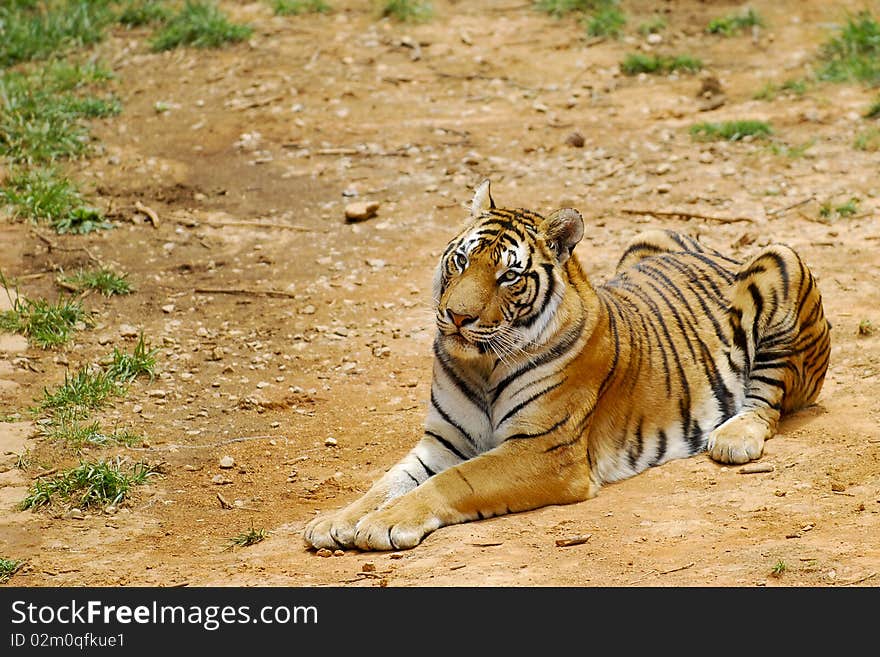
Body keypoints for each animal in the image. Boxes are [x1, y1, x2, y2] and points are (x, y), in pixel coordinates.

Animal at [304, 179, 832, 548]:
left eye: (508, 276)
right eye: (461, 262)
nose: (456, 316)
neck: (481, 366)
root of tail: (718, 252)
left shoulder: (544, 452)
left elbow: (454, 480)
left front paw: (384, 525)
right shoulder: (444, 441)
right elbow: (386, 482)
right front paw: (335, 521)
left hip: (781, 260)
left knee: (767, 403)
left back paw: (733, 438)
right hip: (649, 231)